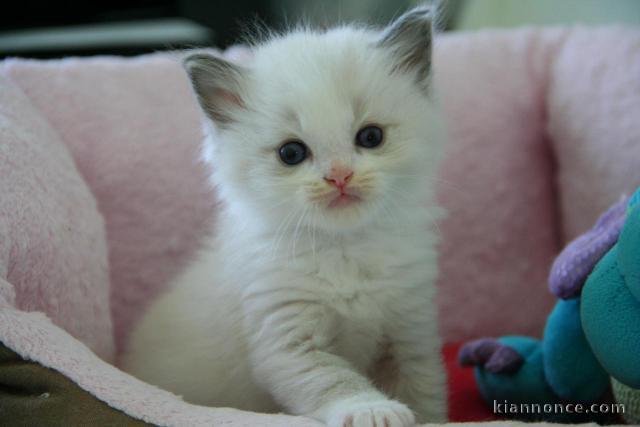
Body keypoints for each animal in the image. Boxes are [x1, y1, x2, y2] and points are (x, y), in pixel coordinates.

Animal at [124, 5, 444, 427]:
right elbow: (335, 381)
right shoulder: (287, 339)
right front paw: (373, 410)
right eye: (291, 153)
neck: (346, 250)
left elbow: (424, 393)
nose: (339, 176)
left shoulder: (411, 333)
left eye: (371, 137)